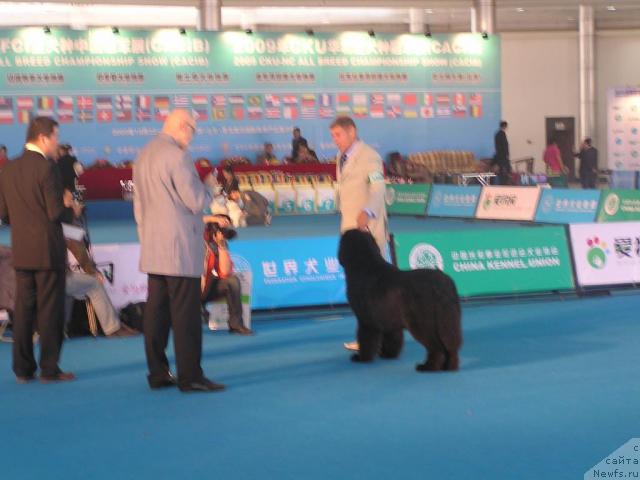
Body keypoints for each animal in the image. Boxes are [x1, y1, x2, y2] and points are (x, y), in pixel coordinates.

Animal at [338, 229, 462, 372]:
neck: (364, 266)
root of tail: (442, 285)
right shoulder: (388, 320)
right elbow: (392, 339)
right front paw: (388, 355)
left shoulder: (366, 320)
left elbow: (365, 339)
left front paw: (362, 358)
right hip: (446, 320)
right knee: (450, 346)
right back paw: (449, 367)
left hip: (422, 322)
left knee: (436, 347)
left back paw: (427, 367)